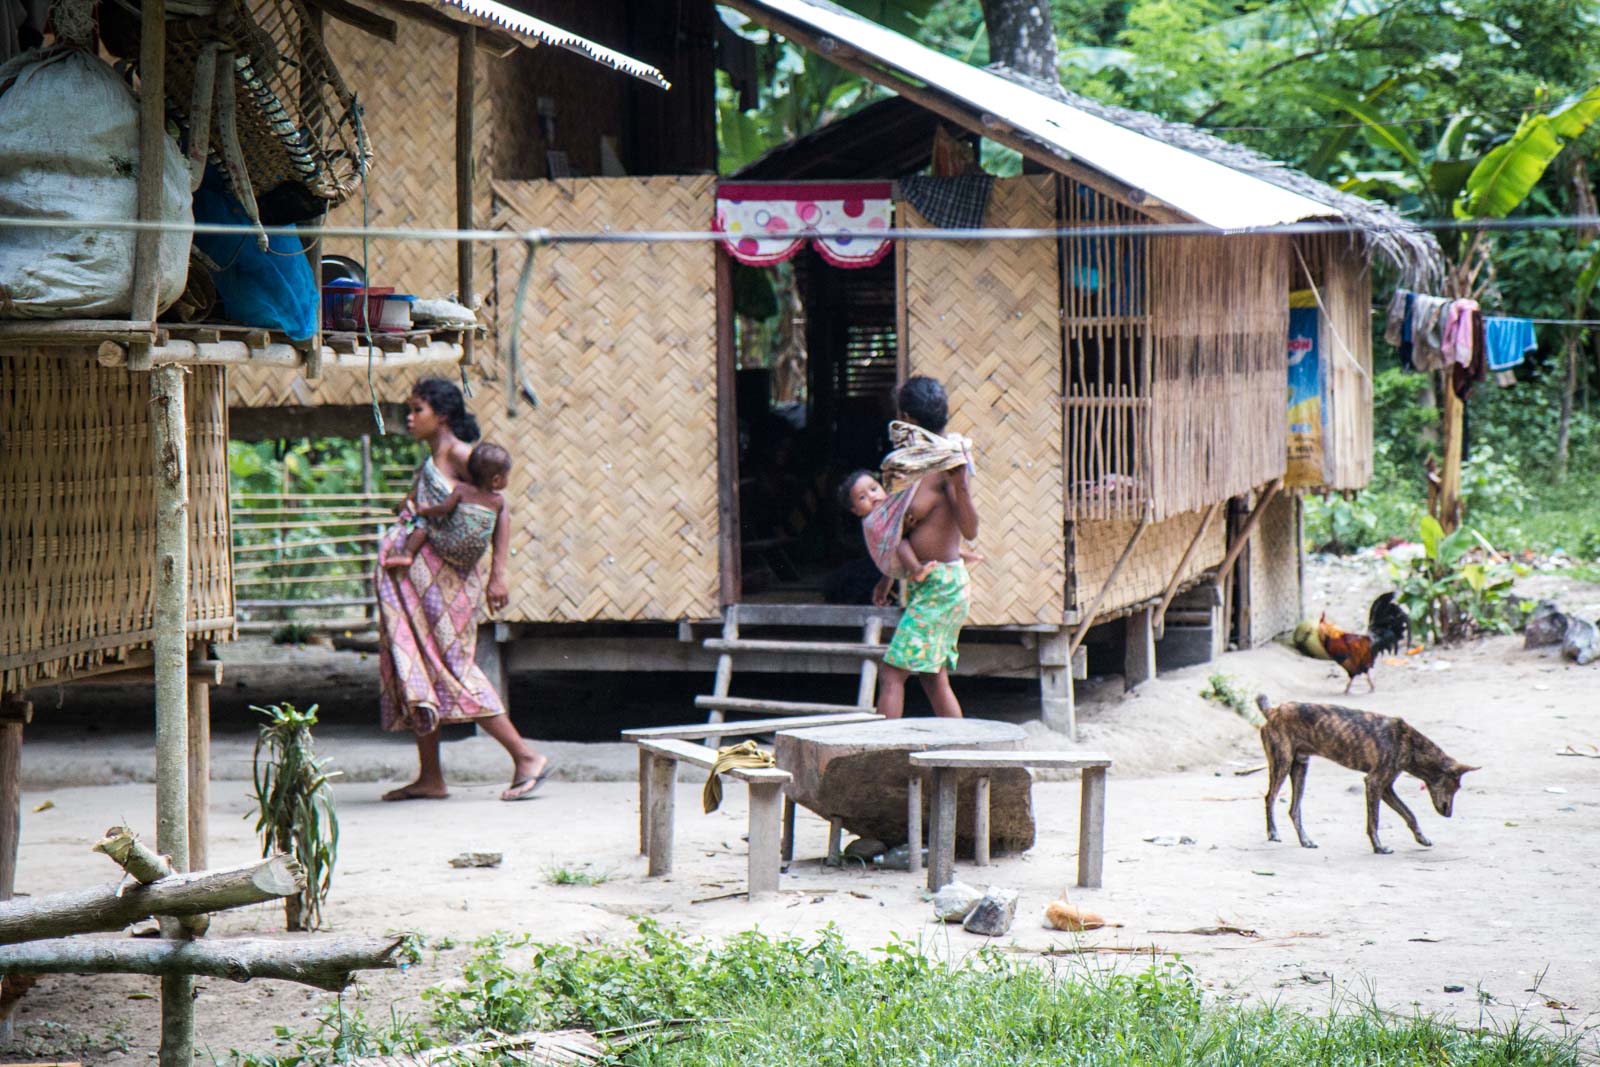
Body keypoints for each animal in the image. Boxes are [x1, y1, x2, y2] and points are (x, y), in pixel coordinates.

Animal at [1254, 697, 1478, 857]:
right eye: (1454, 788)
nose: (1449, 814)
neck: (1411, 744)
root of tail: (1273, 711)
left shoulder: (1386, 788)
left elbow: (1409, 814)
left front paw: (1421, 838)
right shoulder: (1374, 783)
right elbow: (1374, 820)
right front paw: (1379, 848)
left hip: (1300, 768)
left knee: (1294, 810)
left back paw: (1305, 841)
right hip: (1282, 764)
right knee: (1270, 798)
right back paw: (1273, 833)